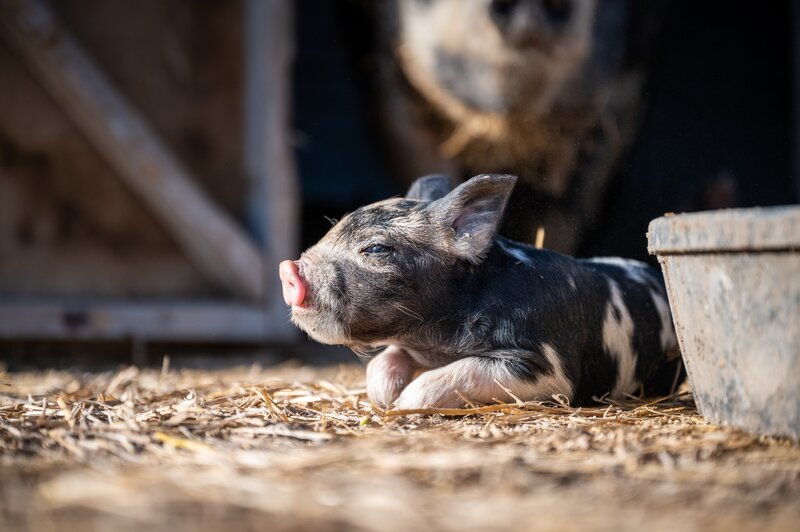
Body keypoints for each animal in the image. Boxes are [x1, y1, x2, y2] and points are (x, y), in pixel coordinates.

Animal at [279, 174, 683, 409]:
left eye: (376, 248)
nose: (288, 269)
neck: (438, 339)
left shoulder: (549, 369)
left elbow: (462, 372)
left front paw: (404, 404)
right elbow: (385, 359)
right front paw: (384, 397)